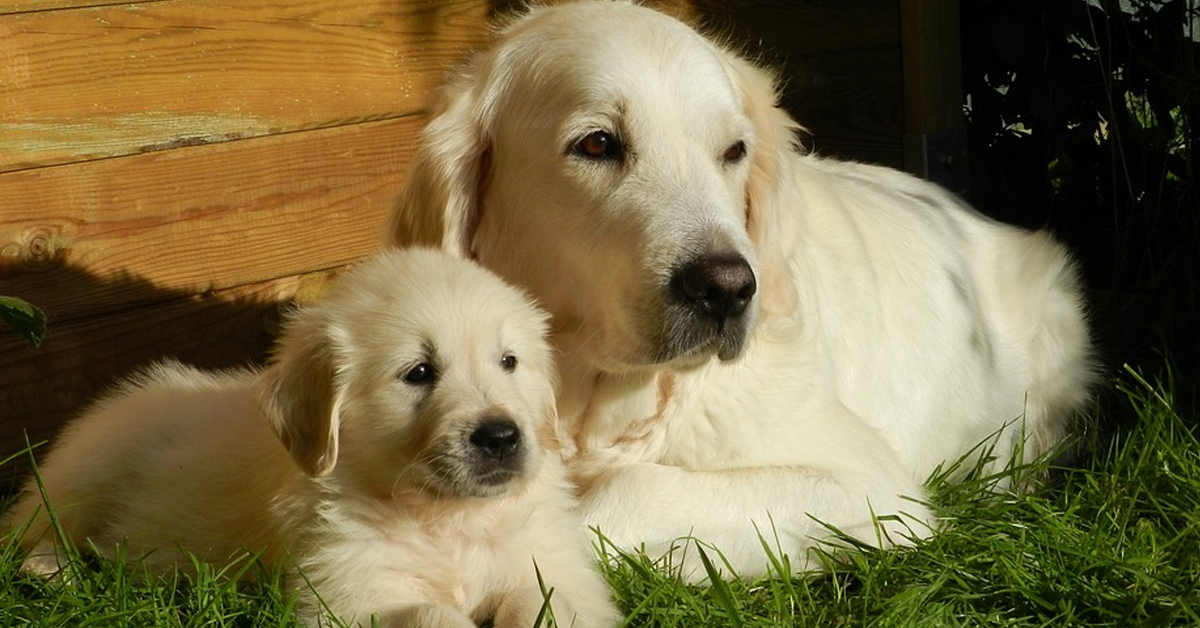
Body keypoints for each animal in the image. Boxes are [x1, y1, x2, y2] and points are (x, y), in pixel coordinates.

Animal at [2, 248, 619, 624]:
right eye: (419, 372)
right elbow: (429, 612)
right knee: (33, 526)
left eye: (509, 362)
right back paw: (51, 569)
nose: (501, 436)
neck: (445, 521)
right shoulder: (342, 595)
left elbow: (542, 603)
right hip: (86, 467)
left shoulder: (553, 567)